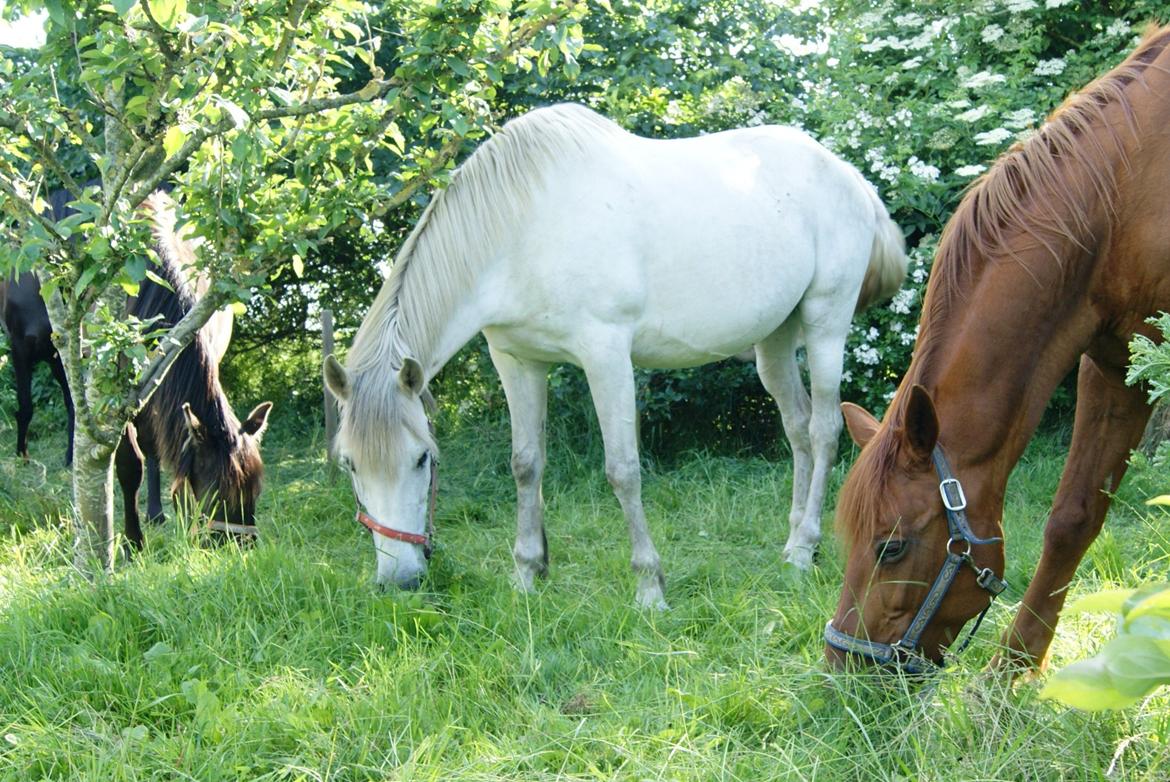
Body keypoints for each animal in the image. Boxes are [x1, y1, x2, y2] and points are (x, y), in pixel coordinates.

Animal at [325, 102, 907, 604]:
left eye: (423, 458)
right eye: (350, 465)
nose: (399, 581)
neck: (521, 228)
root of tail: (848, 175)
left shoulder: (605, 355)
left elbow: (623, 469)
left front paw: (650, 588)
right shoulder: (516, 360)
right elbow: (525, 464)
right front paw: (527, 575)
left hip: (826, 324)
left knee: (824, 429)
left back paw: (805, 550)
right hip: (776, 341)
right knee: (797, 428)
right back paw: (791, 547)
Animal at [828, 24, 1170, 674]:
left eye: (891, 547)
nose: (842, 670)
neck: (1124, 199)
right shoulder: (1117, 366)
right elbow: (1072, 517)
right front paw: (1008, 677)